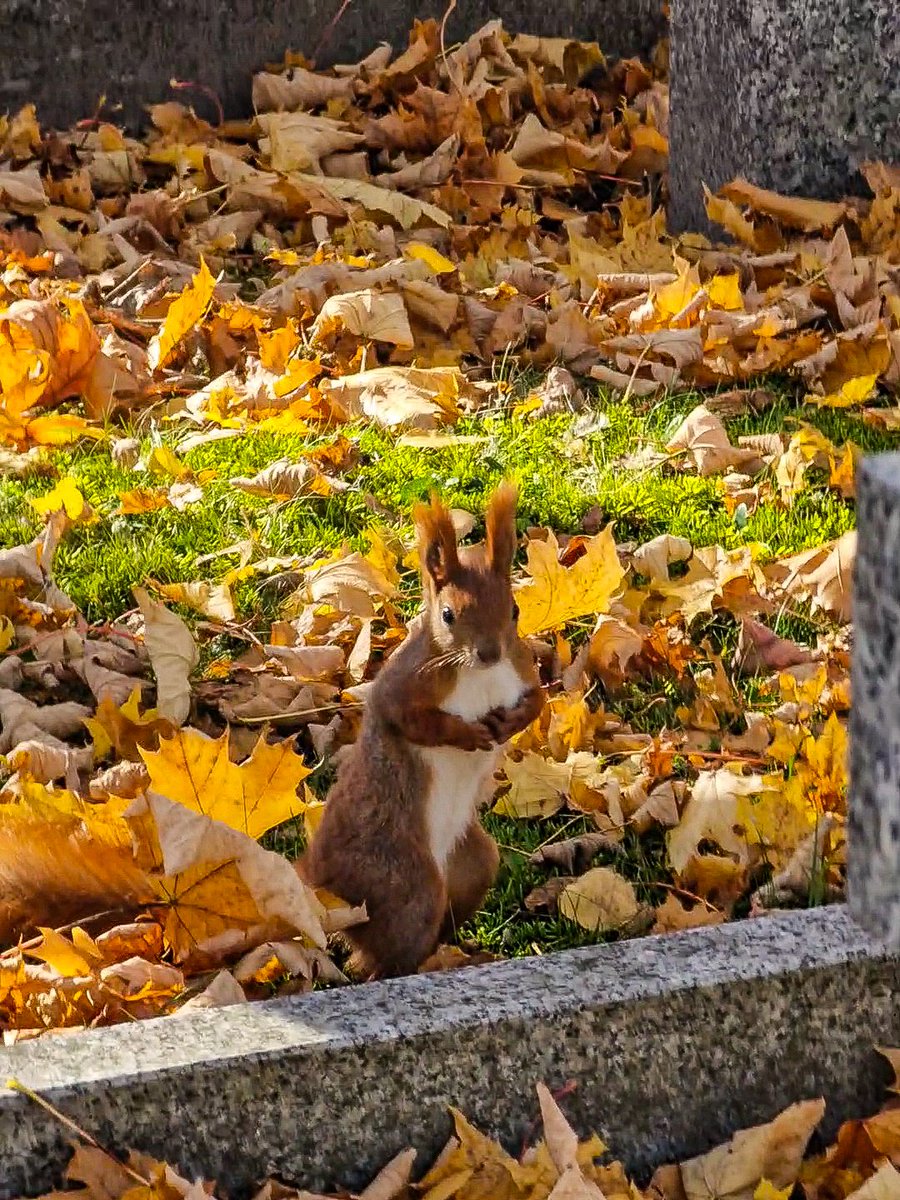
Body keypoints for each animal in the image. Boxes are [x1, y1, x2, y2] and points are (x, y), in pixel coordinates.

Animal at [300, 482, 547, 979]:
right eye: (448, 614)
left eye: (514, 609)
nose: (490, 653)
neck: (474, 673)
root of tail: (336, 899)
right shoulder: (404, 684)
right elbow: (410, 720)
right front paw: (467, 735)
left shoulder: (521, 668)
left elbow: (537, 702)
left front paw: (508, 723)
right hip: (406, 885)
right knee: (387, 959)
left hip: (473, 866)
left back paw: (463, 952)